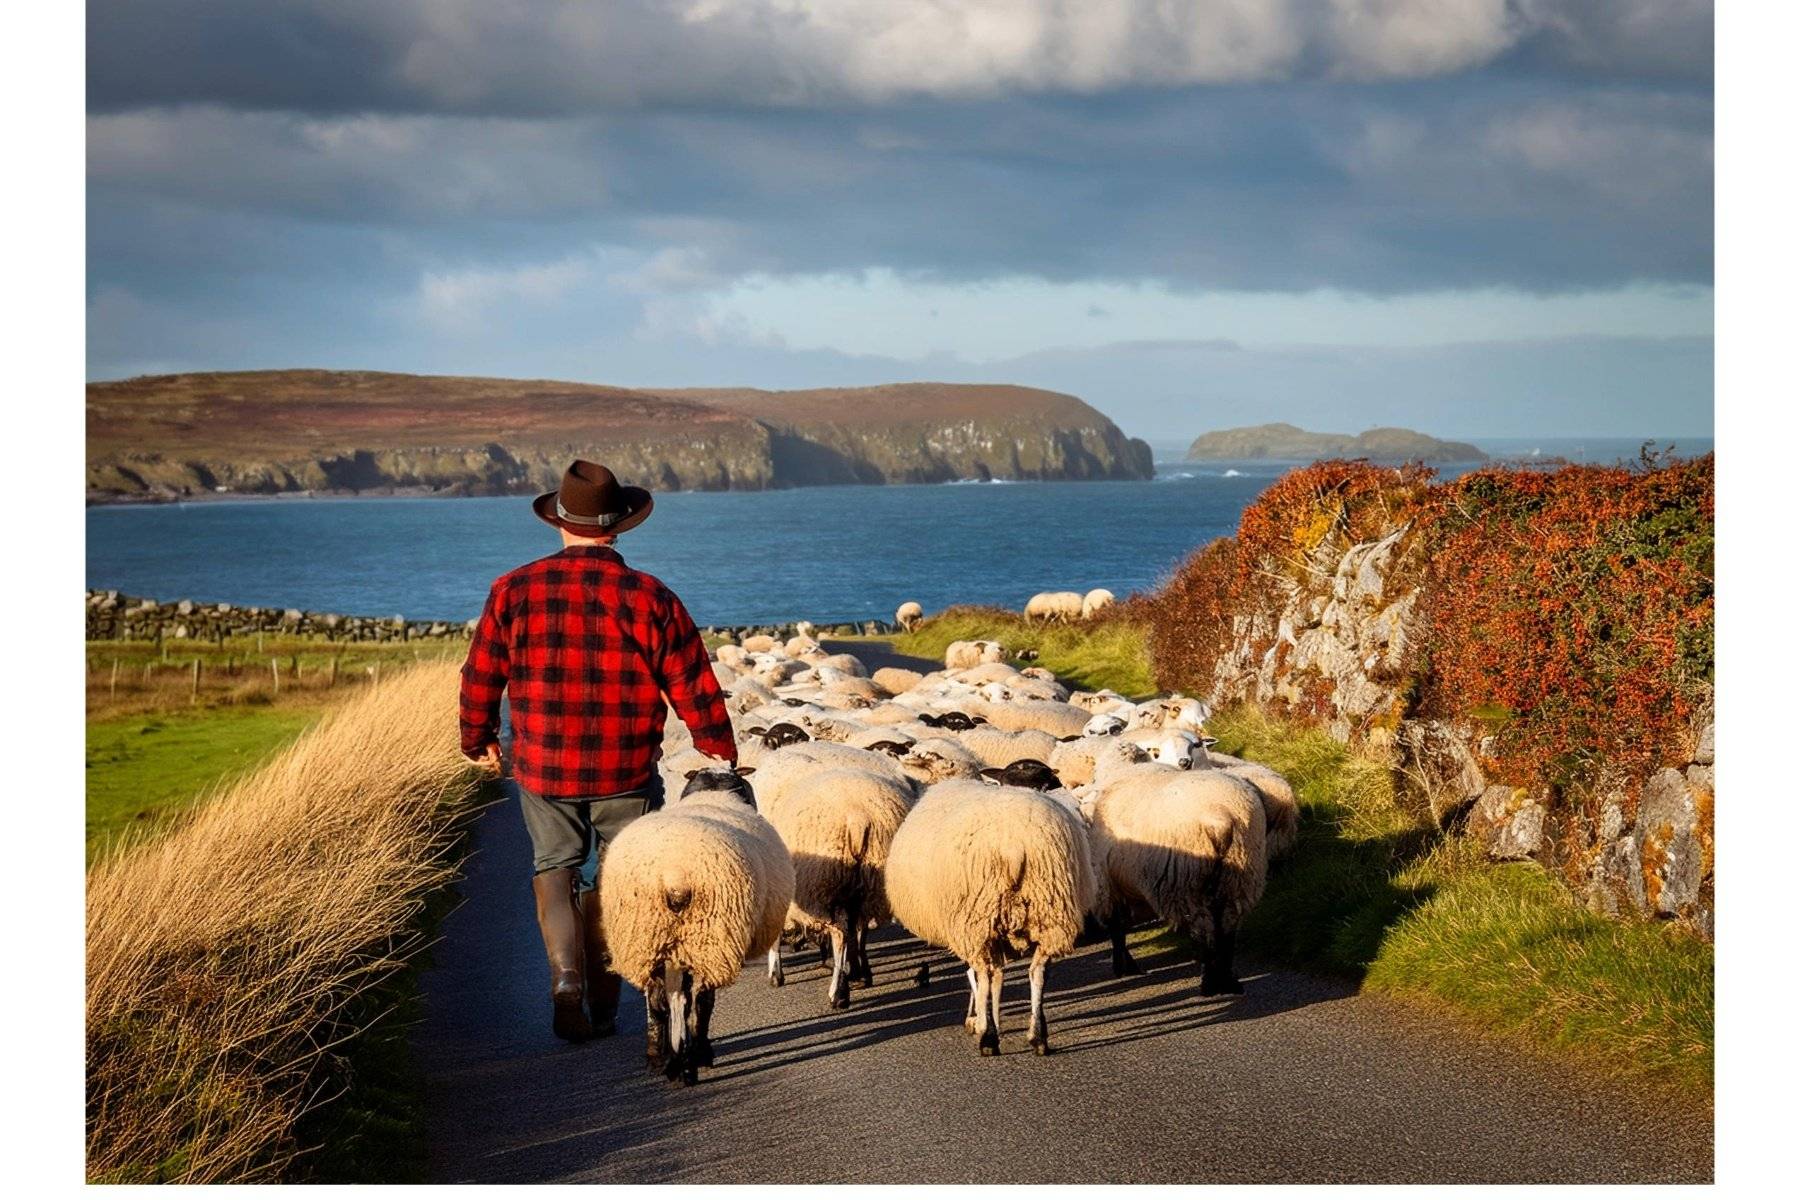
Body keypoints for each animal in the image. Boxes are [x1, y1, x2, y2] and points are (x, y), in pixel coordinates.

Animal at [597, 770, 795, 1086]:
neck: (711, 793)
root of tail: (674, 878)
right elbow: (699, 1002)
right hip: (709, 940)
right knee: (699, 1002)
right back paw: (694, 1059)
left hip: (648, 939)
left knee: (659, 1002)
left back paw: (663, 1059)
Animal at [885, 780, 1094, 1050]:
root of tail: (1014, 845)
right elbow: (998, 976)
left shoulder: (966, 928)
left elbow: (978, 975)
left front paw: (979, 1020)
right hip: (1051, 911)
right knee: (1037, 972)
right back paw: (1037, 1036)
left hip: (978, 917)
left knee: (984, 974)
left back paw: (989, 1038)